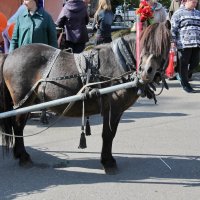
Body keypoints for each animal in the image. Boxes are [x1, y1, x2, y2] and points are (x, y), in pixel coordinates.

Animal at [0, 21, 170, 173]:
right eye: (145, 45)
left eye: (165, 45)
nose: (147, 71)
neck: (120, 61)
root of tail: (10, 55)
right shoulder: (113, 109)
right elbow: (108, 134)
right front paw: (108, 162)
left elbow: (109, 134)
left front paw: (107, 160)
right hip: (23, 102)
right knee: (18, 126)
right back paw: (23, 157)